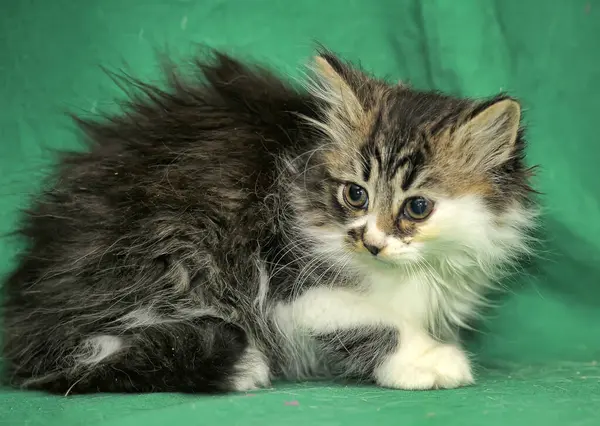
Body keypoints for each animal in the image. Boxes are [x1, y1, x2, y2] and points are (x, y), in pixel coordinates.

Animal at [0, 48, 536, 394]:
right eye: (355, 195)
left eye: (417, 207)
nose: (371, 242)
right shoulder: (289, 286)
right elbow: (375, 321)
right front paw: (426, 360)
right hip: (172, 256)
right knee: (83, 358)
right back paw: (244, 367)